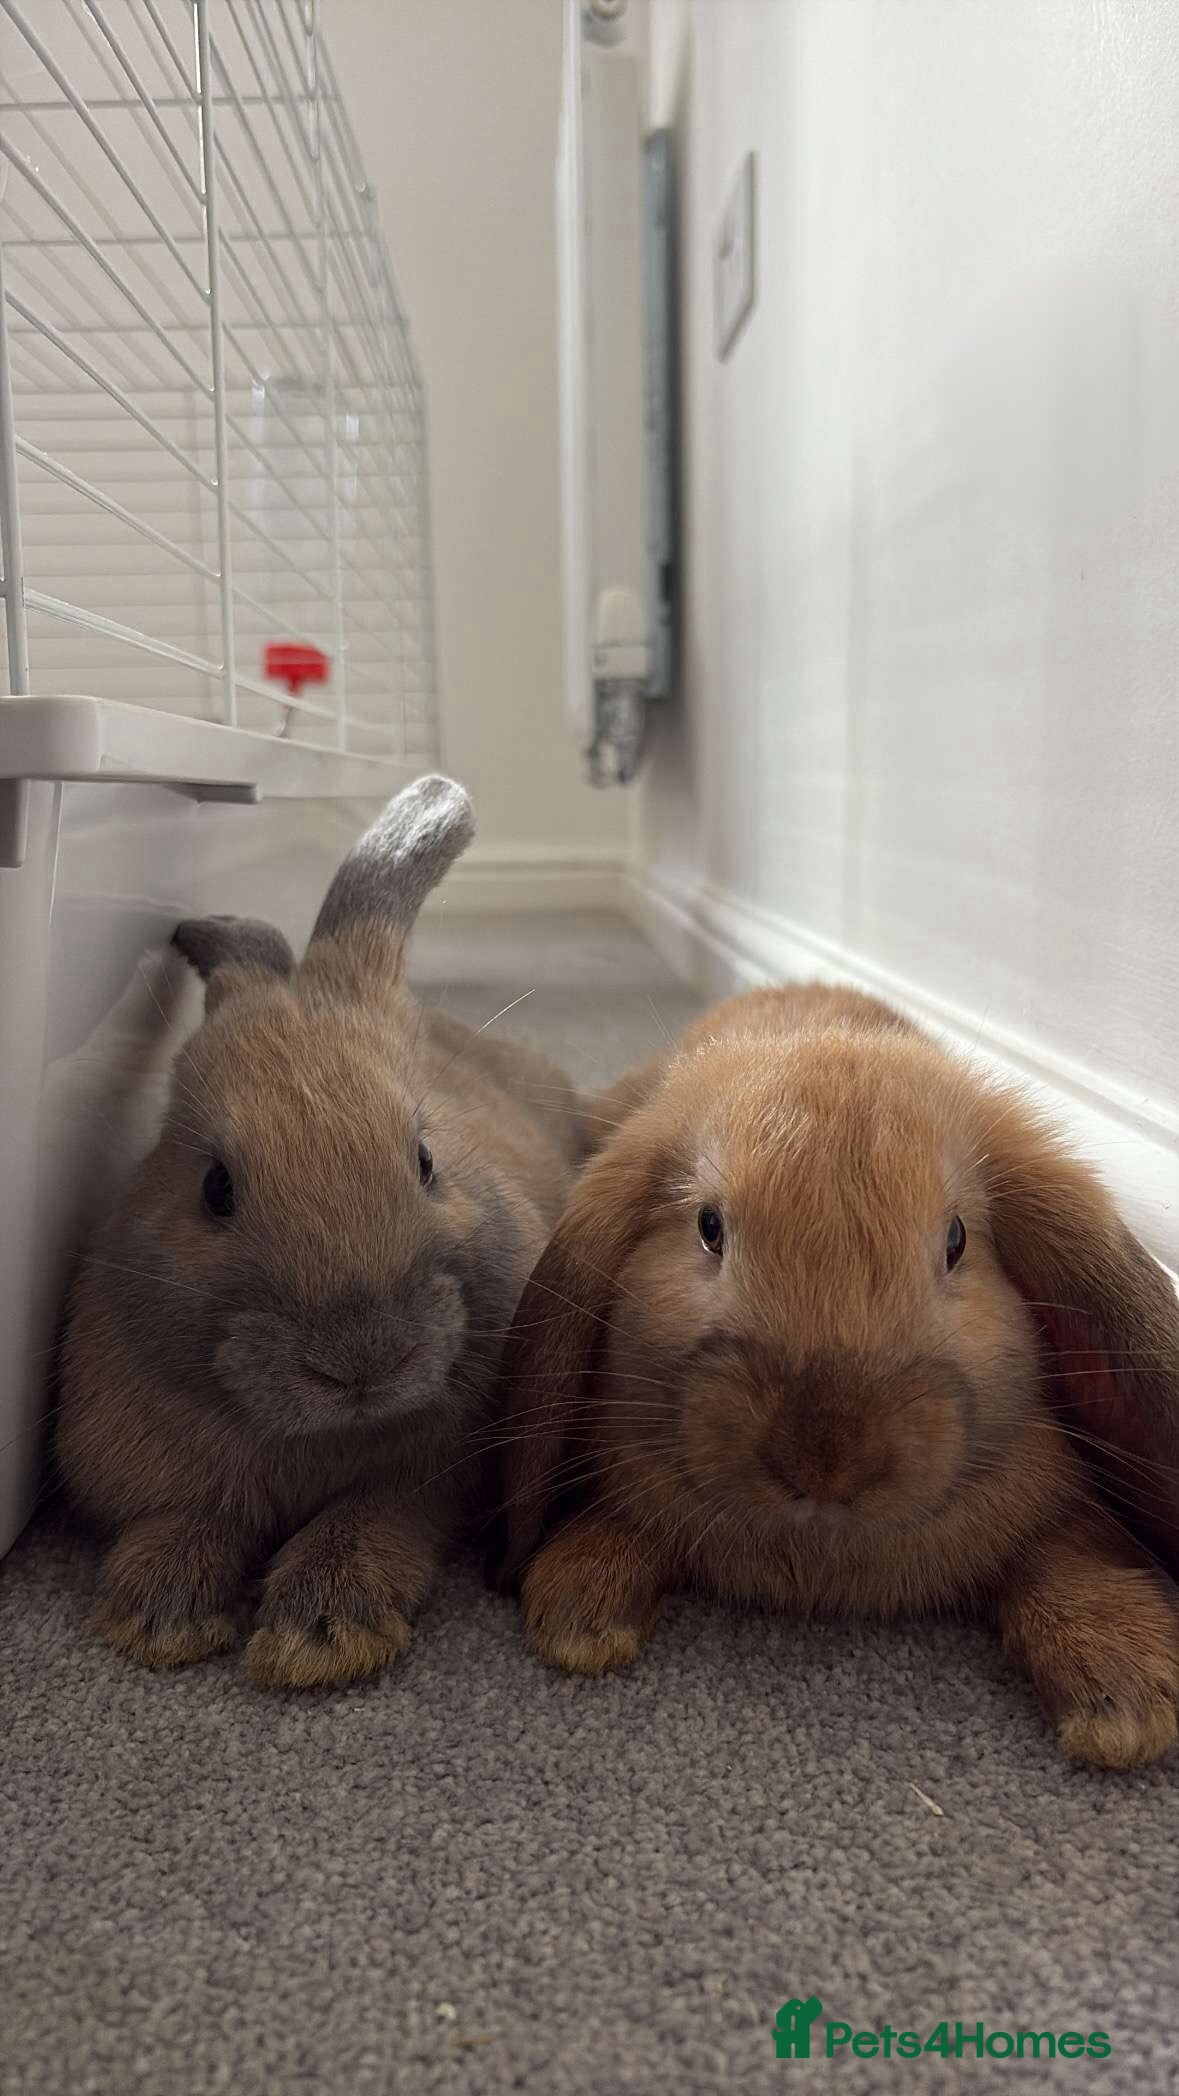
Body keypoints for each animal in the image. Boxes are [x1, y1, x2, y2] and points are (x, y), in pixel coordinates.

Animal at [58, 775, 583, 1690]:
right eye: (215, 1188)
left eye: (425, 1159)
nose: (361, 1362)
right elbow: (182, 1521)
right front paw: (160, 1620)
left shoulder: (421, 1486)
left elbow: (367, 1525)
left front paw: (319, 1637)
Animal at [491, 983, 1179, 1768]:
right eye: (708, 1228)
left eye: (956, 1241)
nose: (824, 1461)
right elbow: (620, 1525)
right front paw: (578, 1614)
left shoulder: (1056, 1516)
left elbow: (1069, 1556)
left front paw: (1122, 1700)